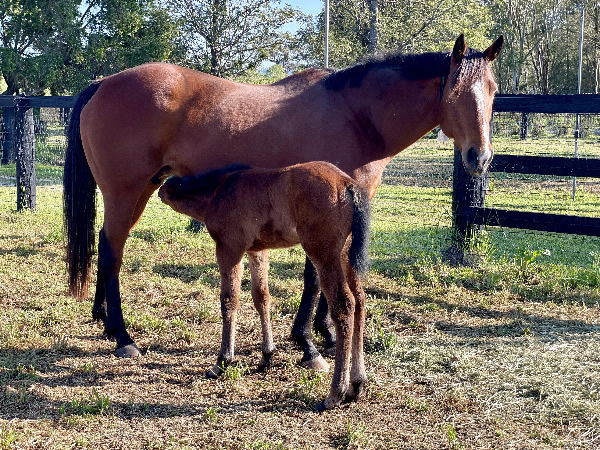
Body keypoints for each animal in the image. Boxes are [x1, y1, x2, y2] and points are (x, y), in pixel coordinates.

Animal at [158, 162, 370, 412]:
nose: (159, 191)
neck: (218, 192)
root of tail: (347, 184)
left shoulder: (229, 248)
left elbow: (230, 300)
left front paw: (222, 361)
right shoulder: (257, 250)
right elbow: (261, 297)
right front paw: (267, 355)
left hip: (324, 253)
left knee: (344, 306)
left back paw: (335, 393)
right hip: (346, 255)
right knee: (360, 301)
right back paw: (356, 385)